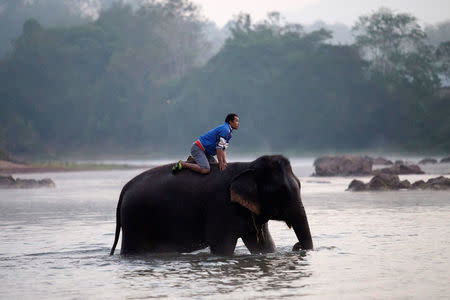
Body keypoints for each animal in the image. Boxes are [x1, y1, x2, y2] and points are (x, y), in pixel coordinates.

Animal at [110, 155, 312, 255]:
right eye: (282, 192)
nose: (296, 246)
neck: (248, 166)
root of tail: (125, 188)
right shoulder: (221, 208)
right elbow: (222, 247)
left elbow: (263, 245)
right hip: (135, 221)